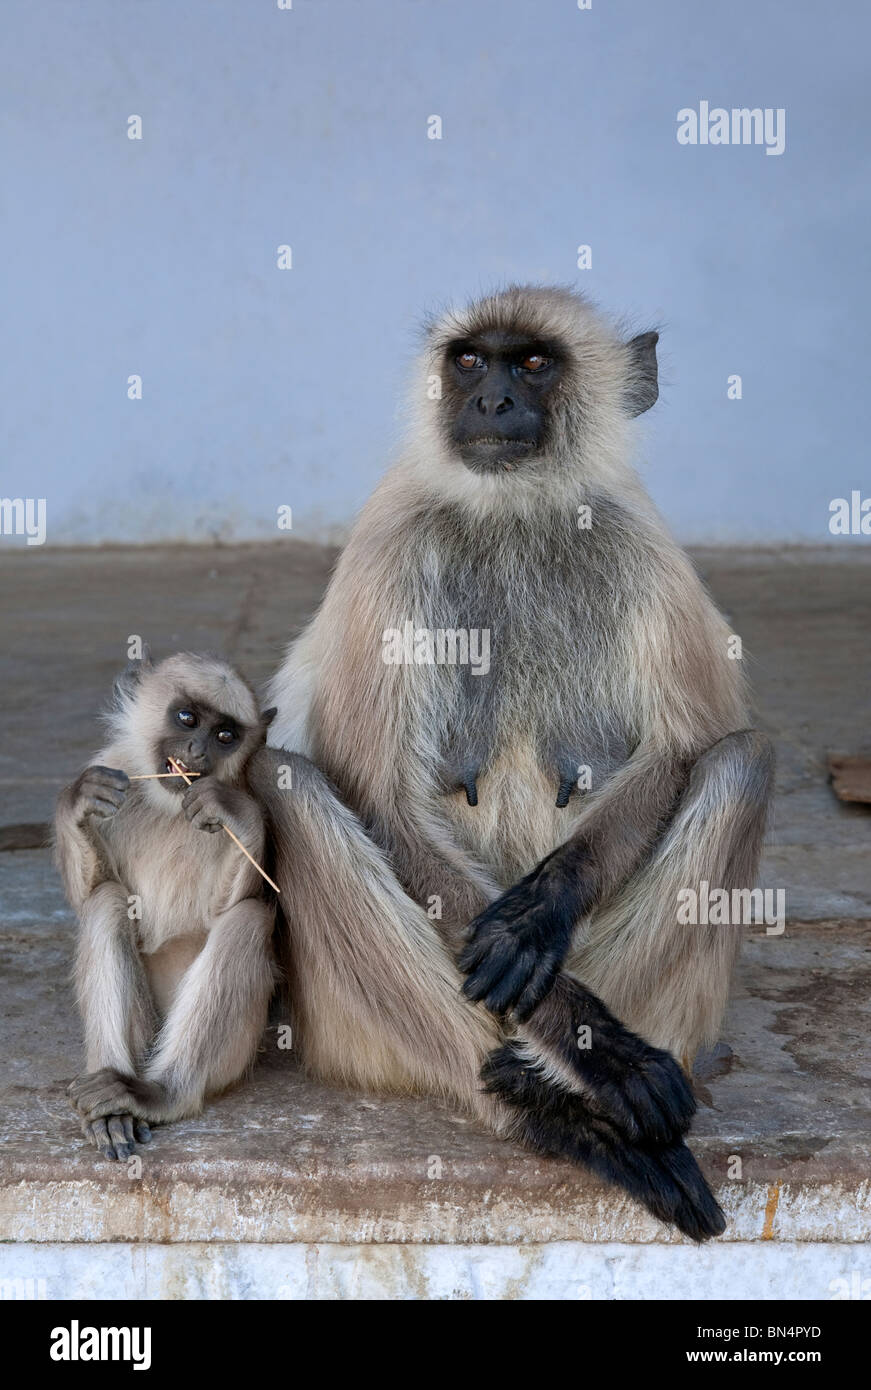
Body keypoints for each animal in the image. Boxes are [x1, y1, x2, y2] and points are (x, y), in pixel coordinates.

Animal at [55, 651, 278, 1160]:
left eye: (225, 736)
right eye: (187, 718)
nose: (197, 751)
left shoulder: (244, 795)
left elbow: (232, 902)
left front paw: (229, 810)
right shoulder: (114, 768)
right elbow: (93, 890)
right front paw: (77, 801)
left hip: (237, 1049)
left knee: (247, 919)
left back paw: (159, 1094)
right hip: (146, 1033)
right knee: (106, 902)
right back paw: (114, 1103)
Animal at [257, 285, 773, 1242]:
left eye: (531, 364)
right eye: (469, 360)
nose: (491, 401)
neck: (514, 511)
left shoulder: (635, 536)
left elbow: (679, 750)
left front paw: (537, 921)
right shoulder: (392, 541)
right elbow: (380, 796)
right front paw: (598, 1055)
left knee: (741, 761)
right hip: (346, 1035)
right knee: (292, 785)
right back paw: (553, 1111)